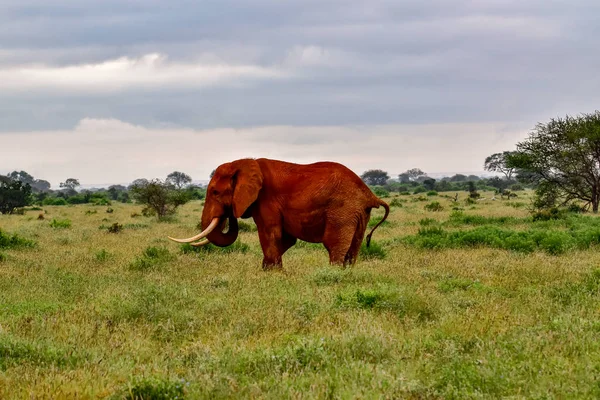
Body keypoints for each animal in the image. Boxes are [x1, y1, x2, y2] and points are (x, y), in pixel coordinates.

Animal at [169, 159, 392, 268]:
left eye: (215, 192)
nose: (229, 213)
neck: (243, 164)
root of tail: (369, 194)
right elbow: (286, 240)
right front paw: (267, 270)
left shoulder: (266, 200)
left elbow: (270, 234)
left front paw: (272, 273)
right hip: (359, 213)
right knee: (354, 247)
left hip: (342, 210)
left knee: (334, 245)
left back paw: (333, 274)